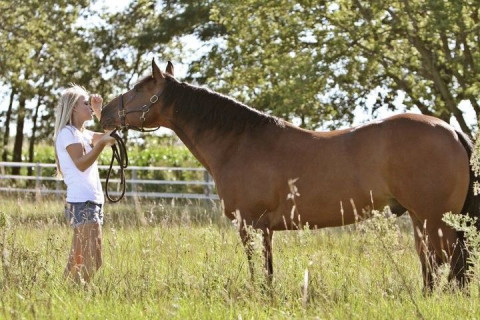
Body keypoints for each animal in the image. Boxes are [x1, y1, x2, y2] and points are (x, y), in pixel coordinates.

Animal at [99, 60, 478, 290]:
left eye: (141, 88)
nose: (103, 113)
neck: (240, 142)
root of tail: (452, 131)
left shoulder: (250, 224)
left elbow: (258, 269)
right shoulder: (264, 228)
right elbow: (267, 270)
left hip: (434, 219)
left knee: (450, 262)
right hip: (421, 219)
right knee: (435, 265)